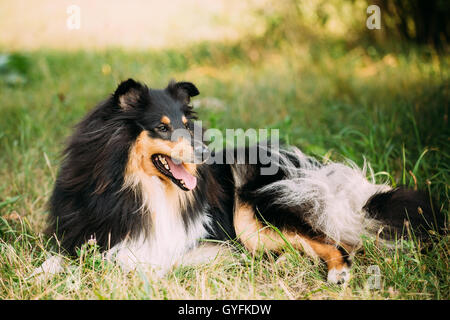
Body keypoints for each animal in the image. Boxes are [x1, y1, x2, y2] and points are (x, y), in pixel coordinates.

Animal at [44, 79, 444, 284]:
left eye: (187, 125)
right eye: (162, 127)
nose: (205, 153)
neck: (140, 188)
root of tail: (313, 168)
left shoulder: (177, 246)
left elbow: (141, 262)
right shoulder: (82, 232)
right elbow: (60, 257)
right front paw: (44, 272)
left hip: (257, 212)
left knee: (334, 243)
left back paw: (337, 274)